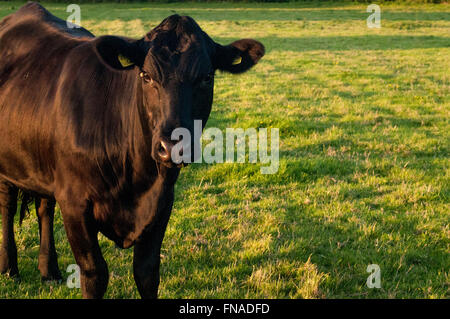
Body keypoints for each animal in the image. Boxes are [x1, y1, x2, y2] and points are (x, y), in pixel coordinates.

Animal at [0, 2, 264, 298]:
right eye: (146, 76)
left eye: (207, 77)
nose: (173, 146)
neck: (135, 177)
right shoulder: (75, 203)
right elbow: (94, 273)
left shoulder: (162, 203)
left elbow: (147, 272)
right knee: (8, 206)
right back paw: (9, 267)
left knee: (44, 206)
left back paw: (49, 271)